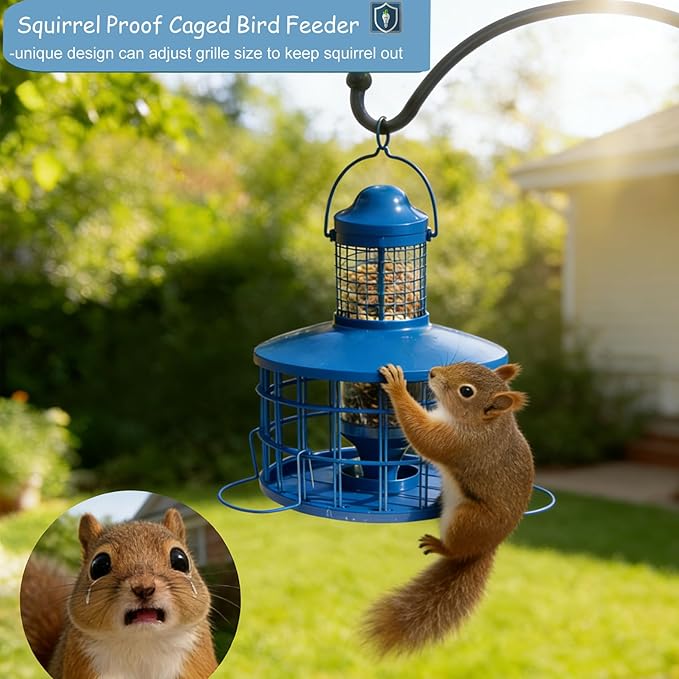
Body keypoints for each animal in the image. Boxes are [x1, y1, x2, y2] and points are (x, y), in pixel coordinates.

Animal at [364, 361, 534, 655]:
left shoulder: (459, 444)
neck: (484, 425)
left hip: (467, 520)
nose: (432, 373)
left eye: (466, 391)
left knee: (455, 549)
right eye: (467, 363)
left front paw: (397, 385)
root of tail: (485, 548)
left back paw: (439, 545)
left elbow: (423, 436)